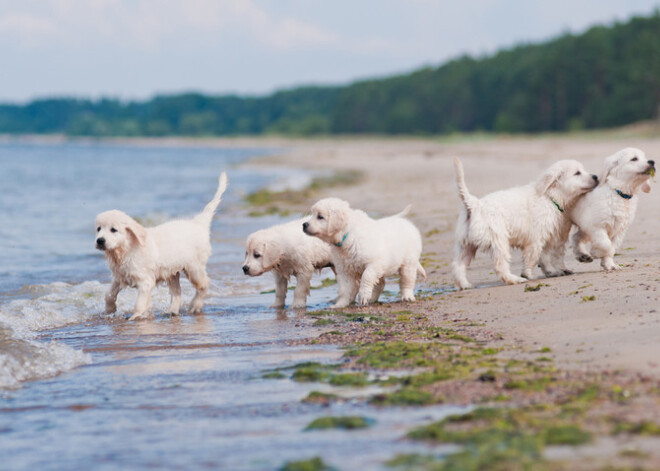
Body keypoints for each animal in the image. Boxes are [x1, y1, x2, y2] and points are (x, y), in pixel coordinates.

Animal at [94, 172, 229, 320]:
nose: (100, 240)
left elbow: (139, 304)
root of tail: (198, 223)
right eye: (98, 229)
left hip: (194, 267)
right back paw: (172, 311)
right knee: (177, 292)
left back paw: (195, 305)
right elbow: (109, 294)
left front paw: (135, 318)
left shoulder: (145, 281)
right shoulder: (120, 277)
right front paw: (110, 310)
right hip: (172, 271)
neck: (125, 250)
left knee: (204, 284)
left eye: (113, 230)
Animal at [454, 160, 600, 290]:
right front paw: (528, 274)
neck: (550, 197)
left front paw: (551, 272)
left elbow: (545, 257)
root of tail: (474, 204)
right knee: (500, 266)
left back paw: (465, 285)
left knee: (457, 266)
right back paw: (515, 279)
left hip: (466, 245)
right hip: (498, 240)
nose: (596, 176)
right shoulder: (536, 238)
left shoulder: (547, 236)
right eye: (577, 173)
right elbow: (532, 257)